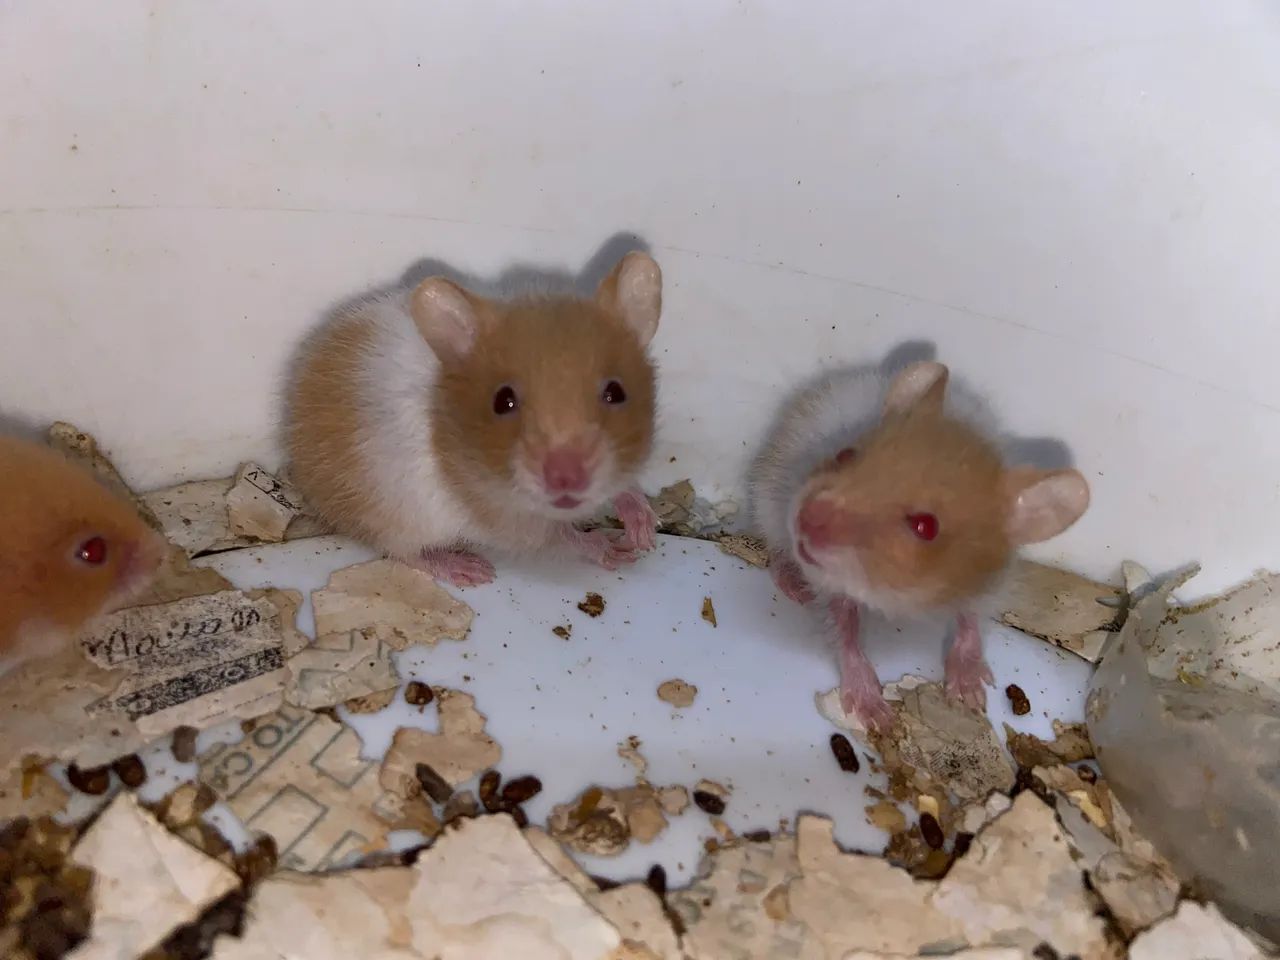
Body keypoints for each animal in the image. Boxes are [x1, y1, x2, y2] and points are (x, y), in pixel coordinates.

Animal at [284, 252, 664, 587]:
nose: (566, 478)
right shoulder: (509, 524)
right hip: (392, 517)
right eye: (503, 401)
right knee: (405, 554)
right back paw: (470, 570)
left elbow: (624, 488)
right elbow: (565, 539)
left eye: (616, 392)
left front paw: (644, 531)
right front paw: (619, 552)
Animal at [748, 360, 1090, 730]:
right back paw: (793, 586)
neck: (905, 596)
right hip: (768, 499)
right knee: (776, 548)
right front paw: (876, 715)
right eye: (846, 454)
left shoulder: (985, 585)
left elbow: (970, 621)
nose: (805, 518)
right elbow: (845, 630)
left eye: (926, 526)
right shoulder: (831, 584)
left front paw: (969, 697)